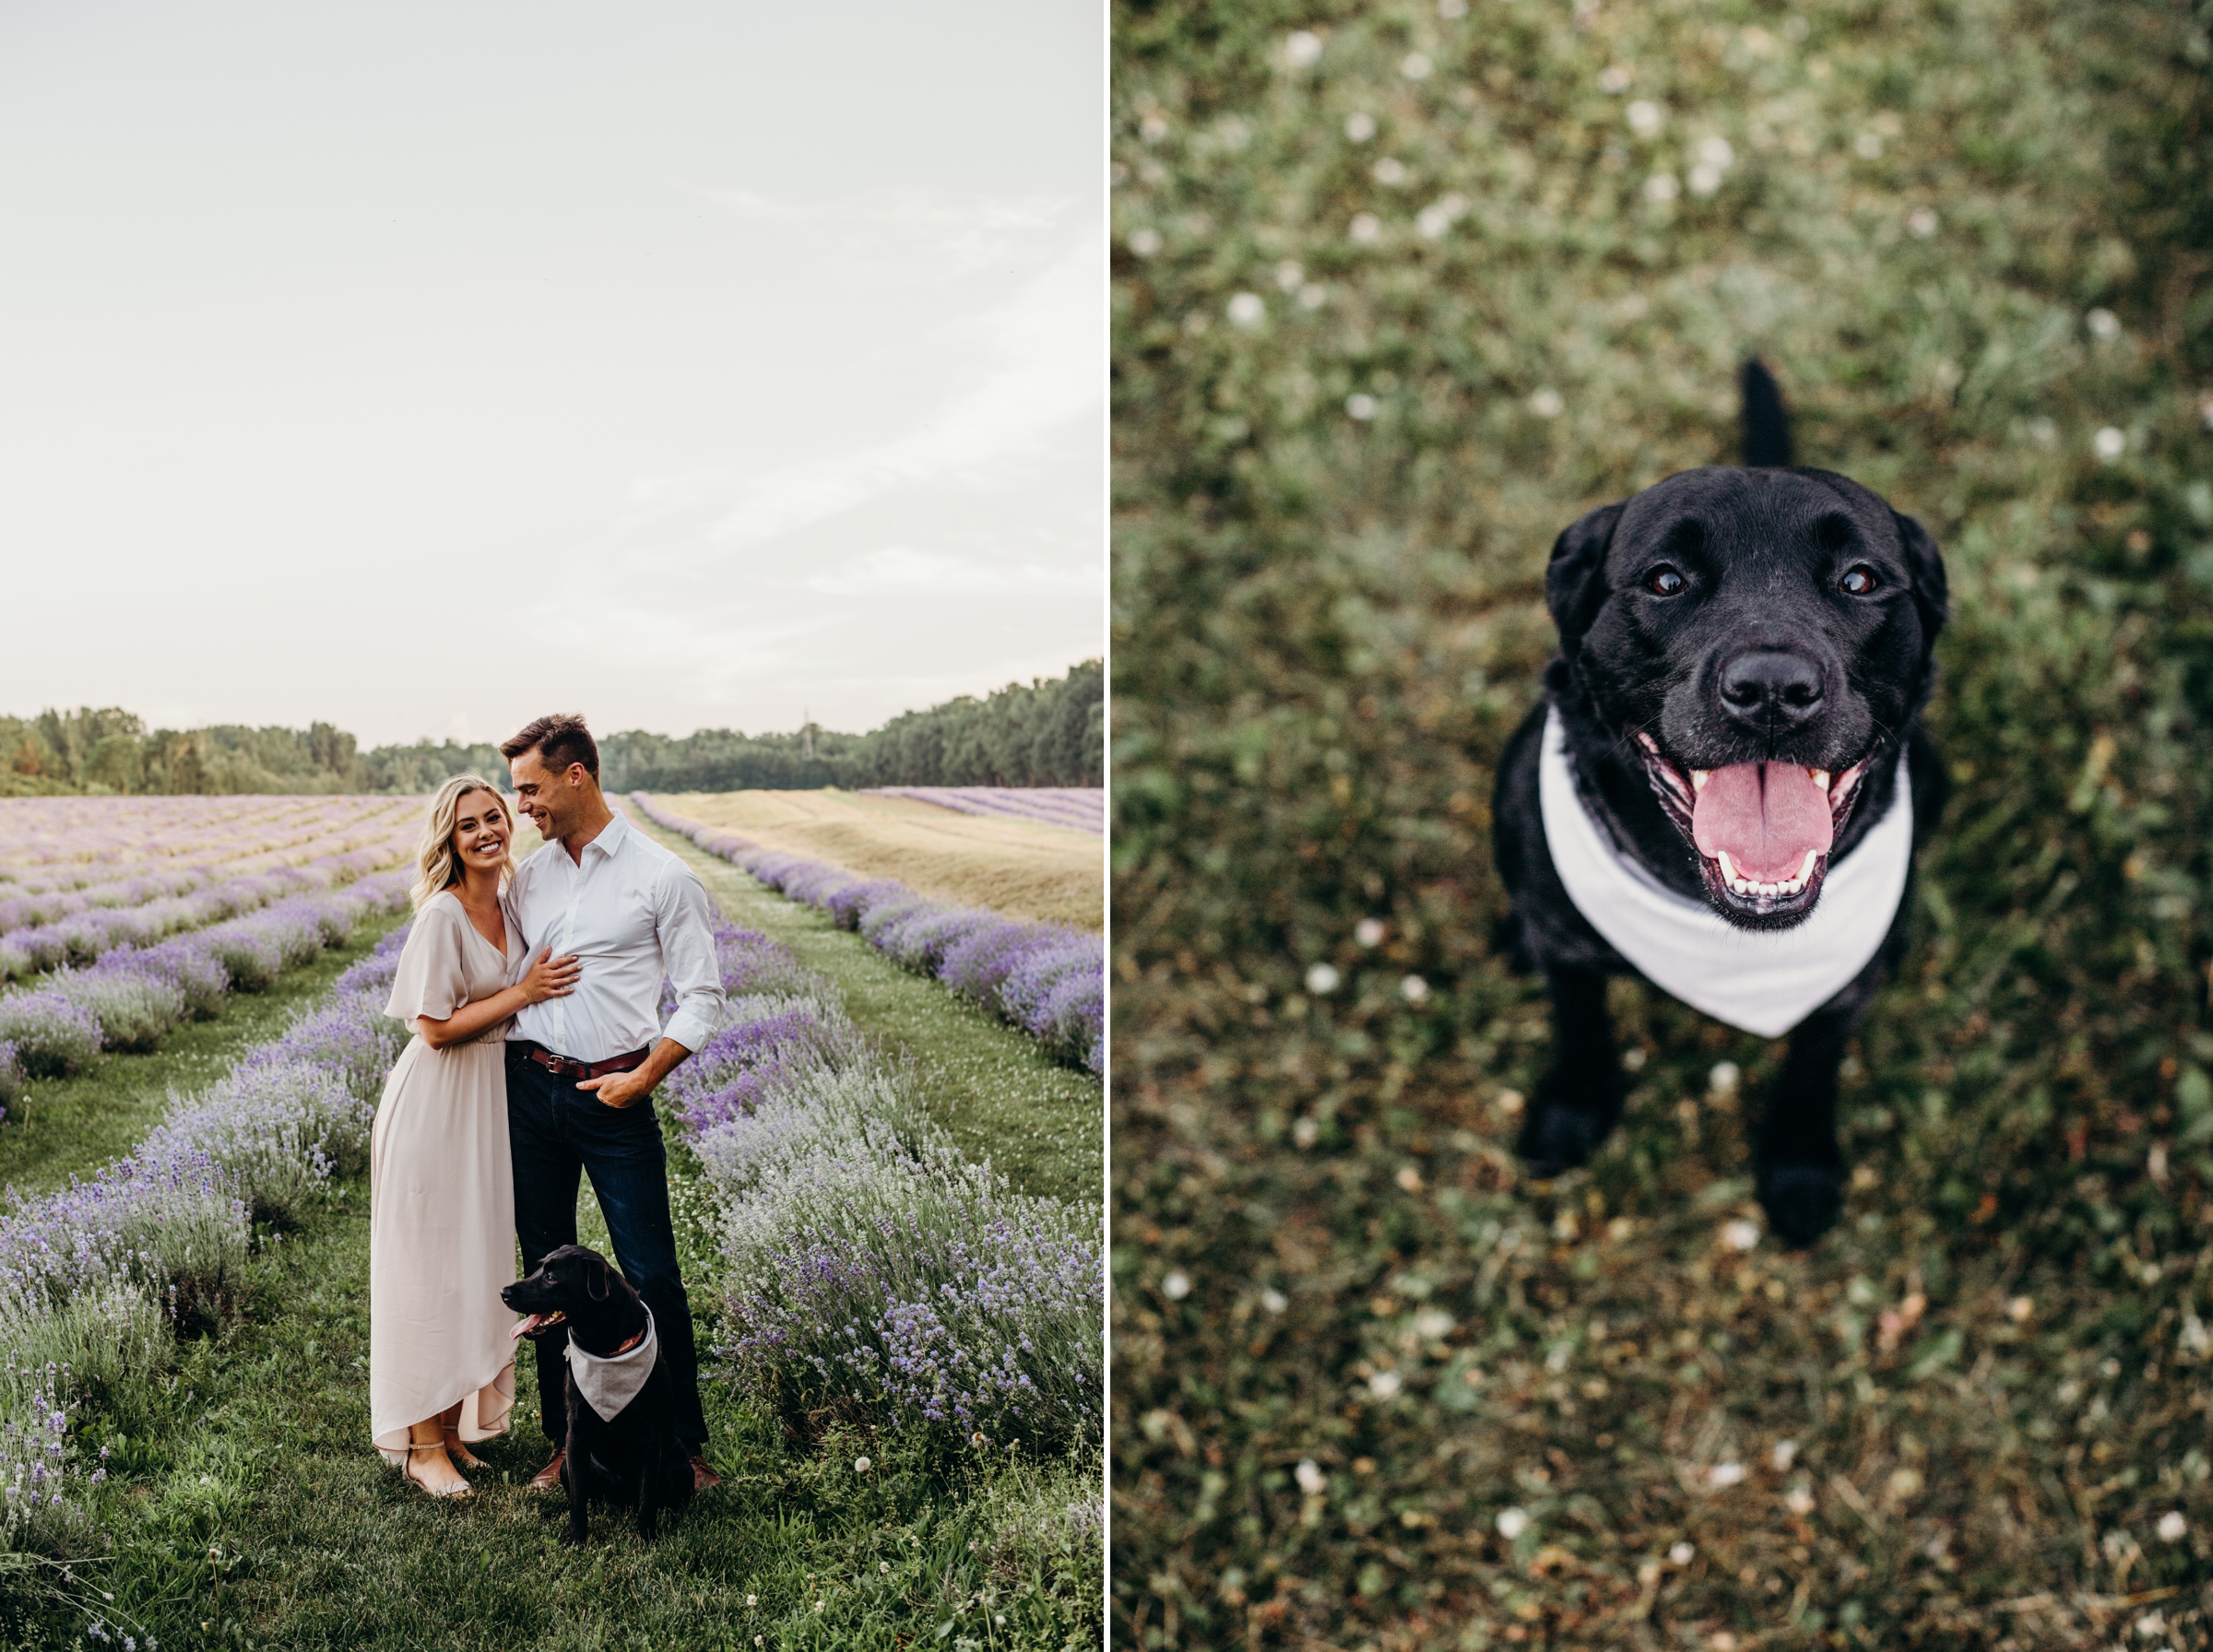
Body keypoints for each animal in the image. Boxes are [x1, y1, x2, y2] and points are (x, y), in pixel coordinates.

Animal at [506, 1246, 694, 1548]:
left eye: (550, 1277)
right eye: (538, 1270)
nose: (504, 1292)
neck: (605, 1351)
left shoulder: (650, 1437)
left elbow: (648, 1499)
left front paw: (646, 1540)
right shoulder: (576, 1433)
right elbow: (577, 1502)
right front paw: (576, 1541)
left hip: (678, 1465)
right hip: (566, 1467)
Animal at [1496, 358, 1947, 1238]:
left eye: (1860, 579)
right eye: (1666, 580)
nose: (1773, 688)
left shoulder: (1841, 996)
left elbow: (1813, 1067)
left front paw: (1801, 1164)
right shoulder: (1570, 952)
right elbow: (1580, 1024)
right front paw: (1575, 1109)